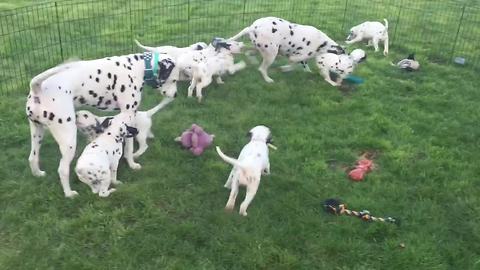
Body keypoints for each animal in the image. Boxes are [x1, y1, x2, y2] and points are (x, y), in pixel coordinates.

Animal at [24, 51, 178, 197]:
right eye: (175, 79)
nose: (176, 95)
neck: (137, 67)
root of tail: (37, 88)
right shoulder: (128, 113)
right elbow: (129, 148)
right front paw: (132, 164)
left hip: (37, 133)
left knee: (32, 158)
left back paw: (38, 174)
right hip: (68, 140)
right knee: (62, 170)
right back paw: (69, 194)